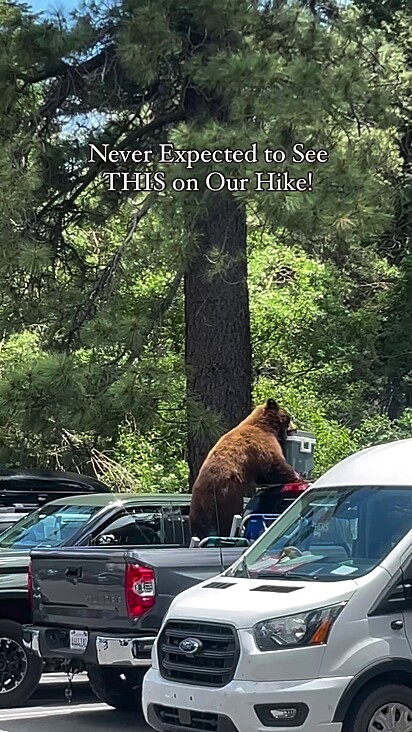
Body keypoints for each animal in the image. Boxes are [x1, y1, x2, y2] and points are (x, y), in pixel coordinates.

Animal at [188, 398, 298, 540]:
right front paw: (296, 475)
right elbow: (273, 465)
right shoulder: (262, 445)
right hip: (227, 497)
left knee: (199, 528)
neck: (265, 426)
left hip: (197, 510)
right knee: (227, 519)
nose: (295, 427)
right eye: (288, 417)